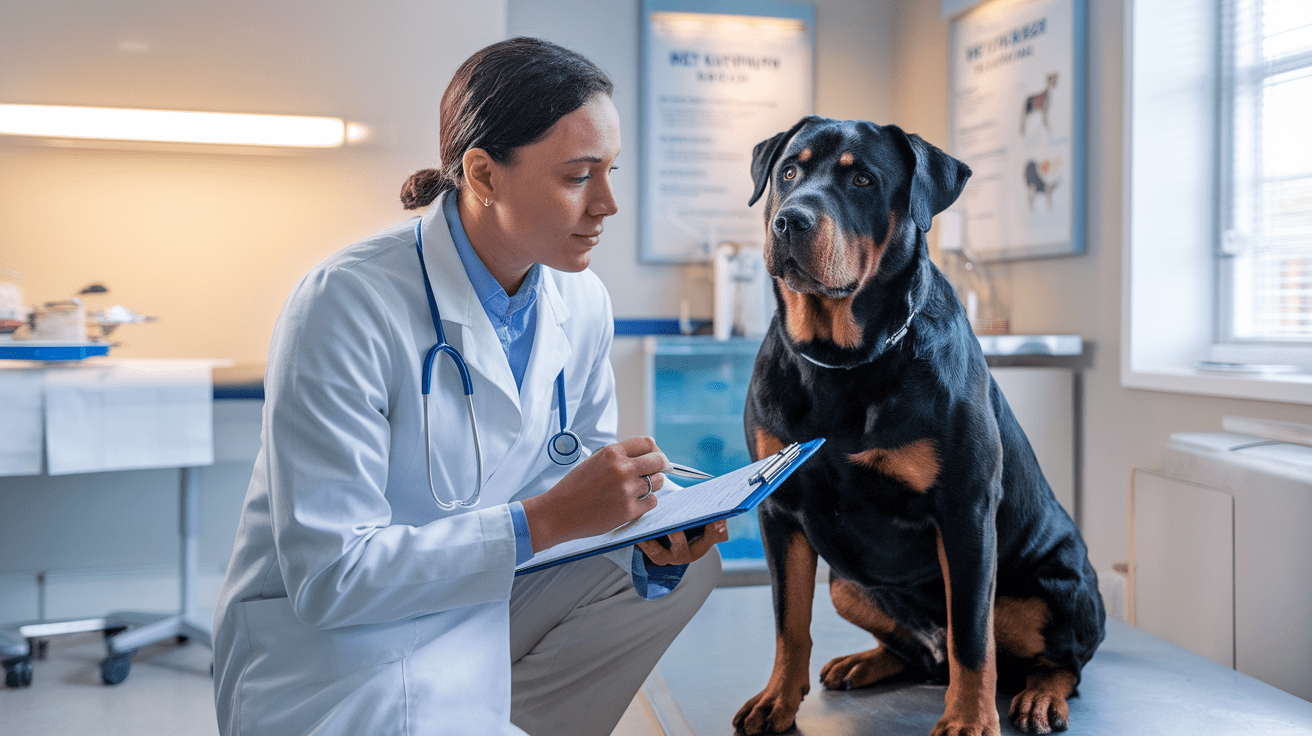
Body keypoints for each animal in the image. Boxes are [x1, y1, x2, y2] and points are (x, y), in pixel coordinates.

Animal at [734, 116, 1102, 734]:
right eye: (788, 172)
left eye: (861, 179)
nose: (791, 219)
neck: (843, 359)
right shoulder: (779, 509)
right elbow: (789, 620)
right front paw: (777, 700)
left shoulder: (965, 510)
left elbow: (973, 639)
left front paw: (970, 720)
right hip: (846, 583)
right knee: (921, 653)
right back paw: (866, 661)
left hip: (1053, 591)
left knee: (1053, 661)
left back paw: (1039, 695)